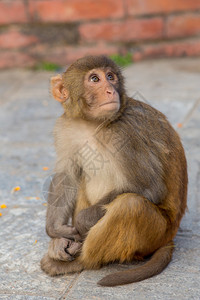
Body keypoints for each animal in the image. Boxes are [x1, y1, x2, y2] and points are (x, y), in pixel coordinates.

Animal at [40, 55, 188, 288]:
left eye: (111, 76)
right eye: (94, 79)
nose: (110, 90)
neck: (92, 124)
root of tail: (170, 237)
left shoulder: (125, 132)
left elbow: (149, 187)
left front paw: (80, 223)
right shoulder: (65, 126)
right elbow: (67, 176)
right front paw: (57, 231)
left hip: (157, 234)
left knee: (130, 205)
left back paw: (81, 260)